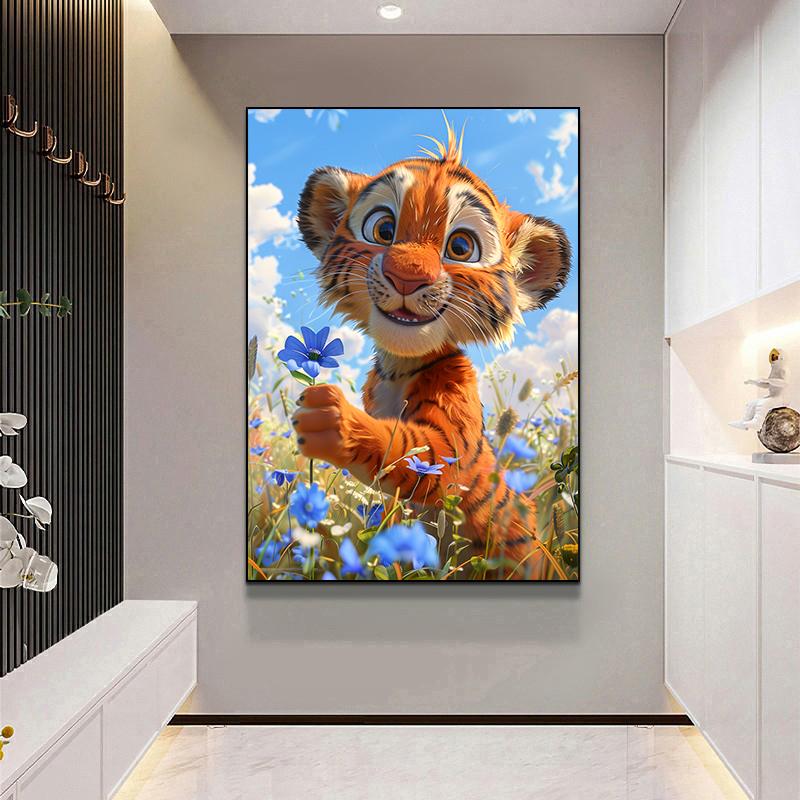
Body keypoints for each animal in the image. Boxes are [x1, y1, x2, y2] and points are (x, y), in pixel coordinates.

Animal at [291, 121, 571, 579]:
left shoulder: (452, 414)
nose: (406, 275)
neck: (397, 365)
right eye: (383, 231)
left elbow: (416, 450)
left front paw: (335, 421)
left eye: (460, 248)